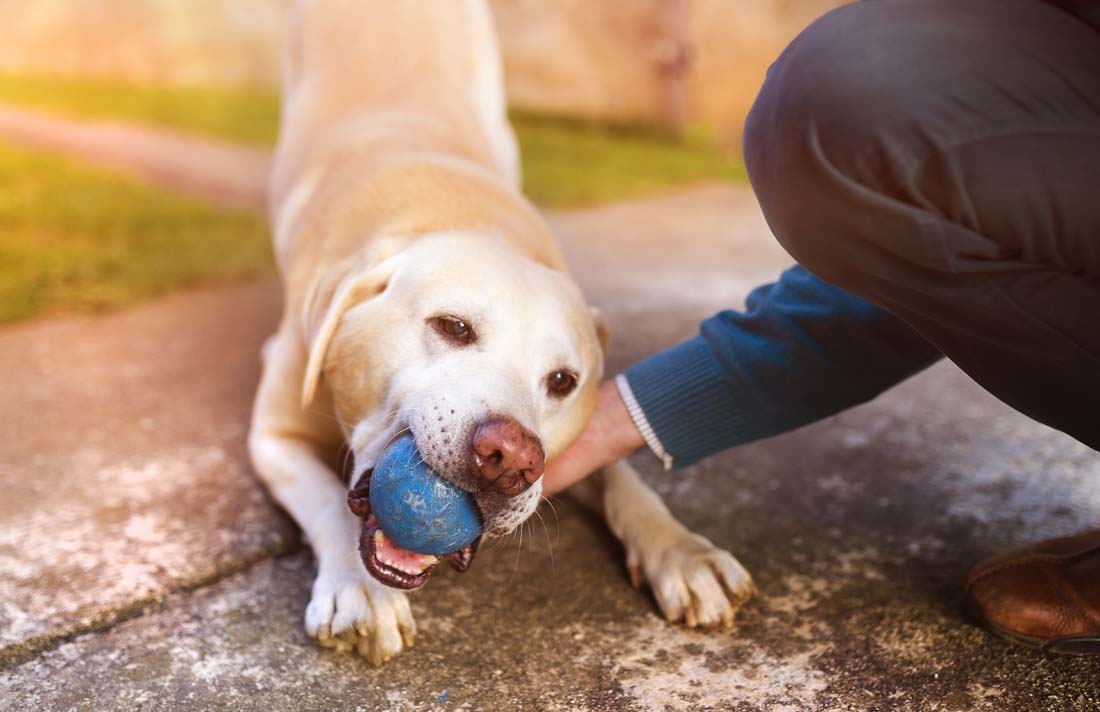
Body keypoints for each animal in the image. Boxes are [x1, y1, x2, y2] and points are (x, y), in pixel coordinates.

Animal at [247, 0, 756, 664]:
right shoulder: (274, 435)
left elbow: (626, 480)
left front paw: (682, 550)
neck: (456, 209)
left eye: (563, 382)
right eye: (452, 326)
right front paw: (358, 589)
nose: (511, 457)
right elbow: (328, 501)